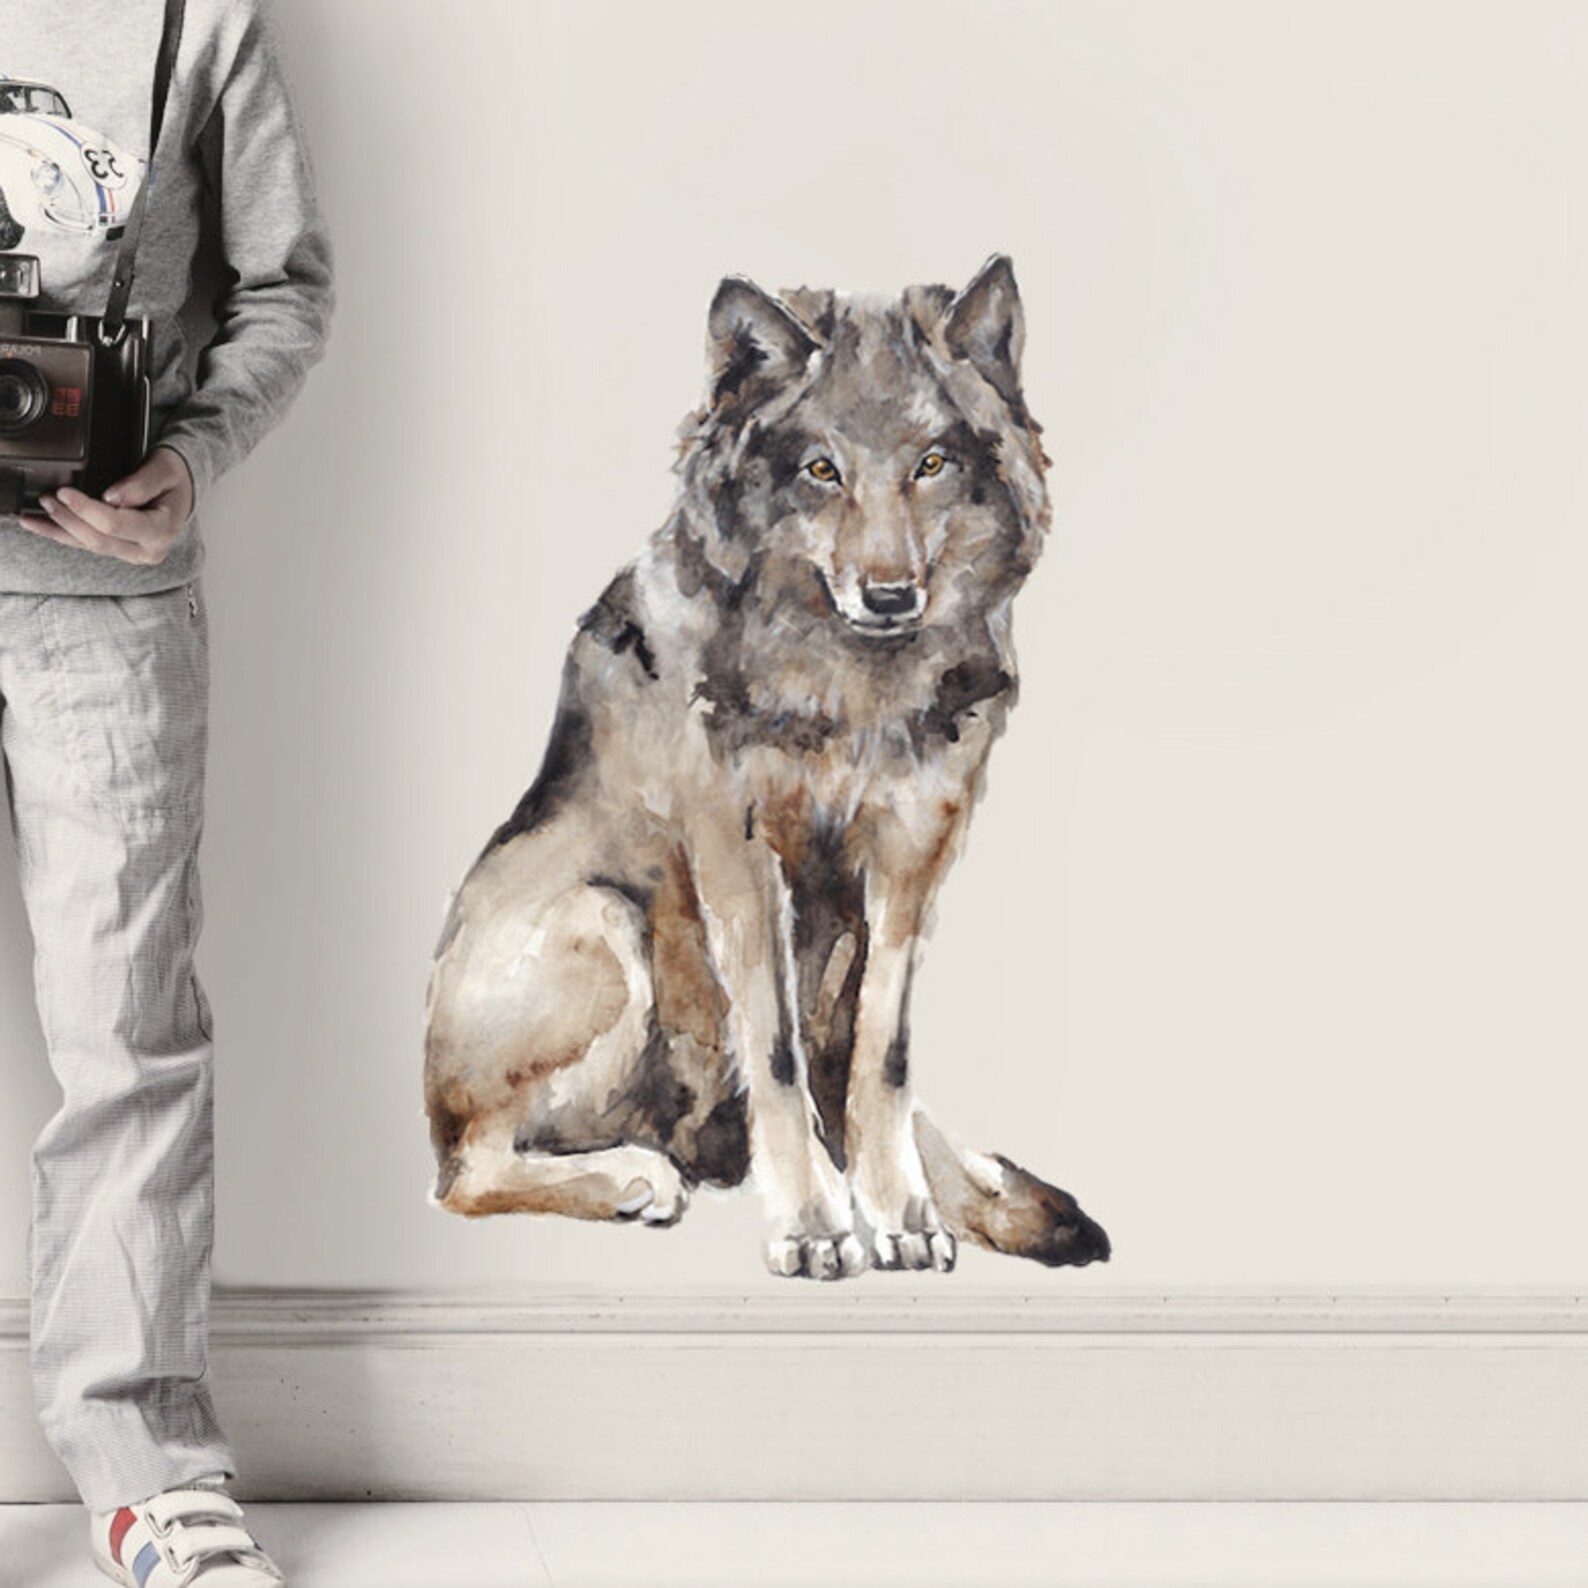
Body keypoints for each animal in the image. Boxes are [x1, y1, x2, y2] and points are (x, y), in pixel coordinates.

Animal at [424, 256, 1110, 1279]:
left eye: (931, 465)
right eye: (822, 471)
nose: (890, 595)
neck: (851, 690)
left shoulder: (915, 849)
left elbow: (882, 1054)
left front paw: (903, 1210)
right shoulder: (738, 852)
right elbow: (778, 1050)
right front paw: (816, 1224)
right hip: (605, 921)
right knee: (465, 1172)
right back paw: (637, 1176)